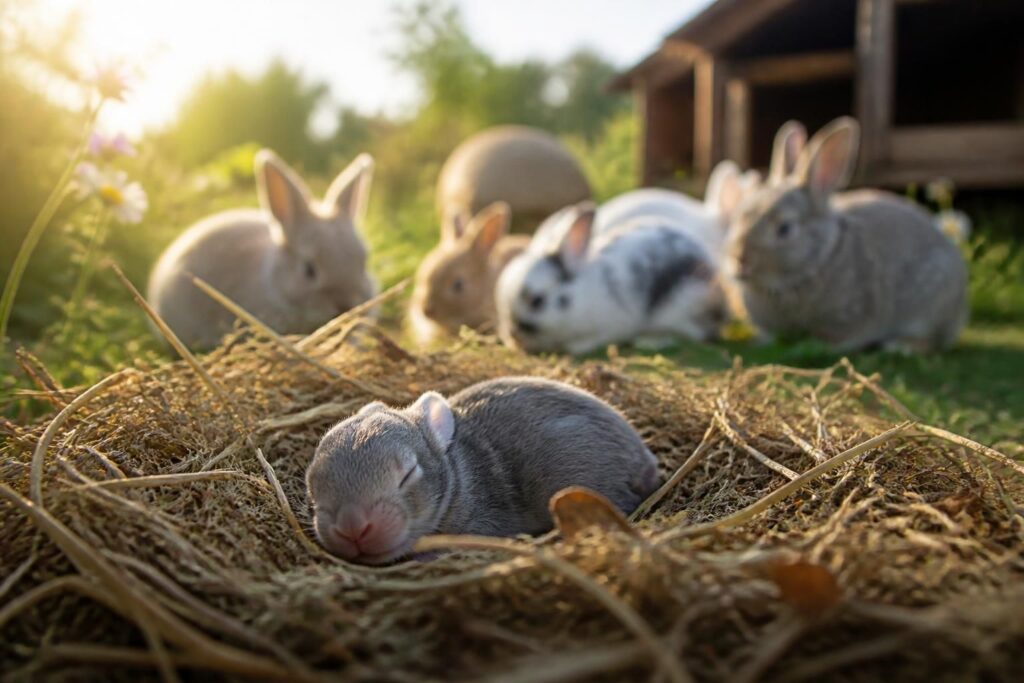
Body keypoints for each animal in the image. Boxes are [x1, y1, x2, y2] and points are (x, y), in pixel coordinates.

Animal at [496, 202, 727, 355]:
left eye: (537, 301)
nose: (514, 334)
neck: (580, 294)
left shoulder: (611, 326)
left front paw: (575, 347)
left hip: (681, 309)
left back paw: (649, 341)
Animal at [724, 117, 968, 352]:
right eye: (737, 218)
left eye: (785, 228)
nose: (739, 259)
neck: (817, 262)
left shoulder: (851, 317)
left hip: (930, 308)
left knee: (932, 341)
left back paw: (901, 346)